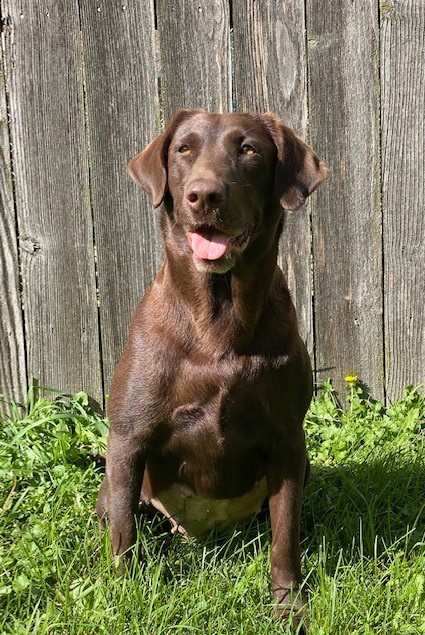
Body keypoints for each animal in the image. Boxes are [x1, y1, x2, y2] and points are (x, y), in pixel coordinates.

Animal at [97, 108, 328, 628]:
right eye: (184, 149)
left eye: (249, 150)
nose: (204, 195)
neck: (217, 321)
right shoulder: (128, 437)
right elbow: (123, 532)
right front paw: (120, 599)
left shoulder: (288, 441)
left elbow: (285, 539)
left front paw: (289, 605)